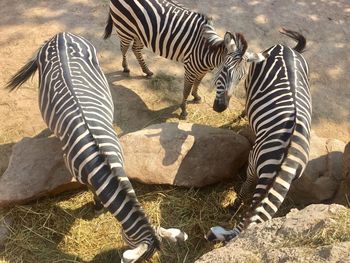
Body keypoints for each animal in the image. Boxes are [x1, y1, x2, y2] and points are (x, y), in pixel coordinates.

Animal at [104, 0, 252, 119]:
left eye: (241, 78)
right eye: (225, 70)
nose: (221, 108)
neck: (207, 51)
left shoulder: (202, 70)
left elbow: (197, 83)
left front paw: (196, 96)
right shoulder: (190, 70)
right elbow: (186, 90)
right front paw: (184, 111)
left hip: (140, 33)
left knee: (136, 49)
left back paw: (147, 71)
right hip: (125, 29)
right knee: (124, 48)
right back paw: (125, 67)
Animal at [206, 28, 310, 241]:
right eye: (223, 70)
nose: (220, 108)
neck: (285, 159)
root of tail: (286, 48)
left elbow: (250, 192)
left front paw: (235, 206)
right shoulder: (253, 163)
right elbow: (247, 187)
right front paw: (235, 206)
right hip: (250, 81)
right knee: (247, 102)